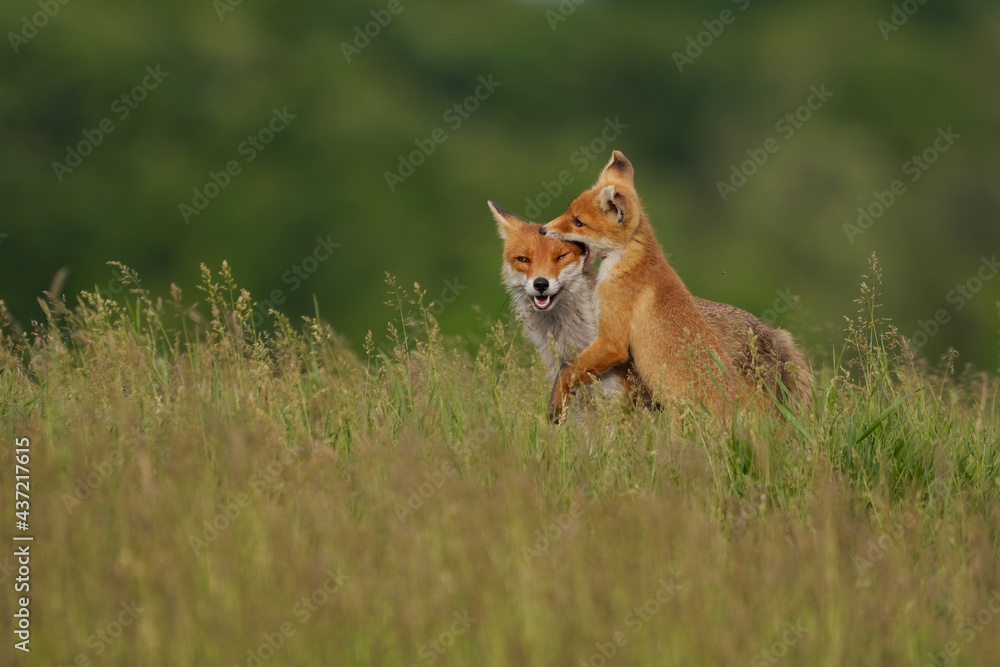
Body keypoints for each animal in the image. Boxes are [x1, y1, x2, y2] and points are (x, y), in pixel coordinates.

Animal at [488, 200, 811, 416]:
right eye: (523, 259)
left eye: (561, 256)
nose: (541, 284)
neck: (571, 340)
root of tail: (770, 330)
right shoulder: (584, 406)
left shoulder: (619, 403)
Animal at [537, 150, 811, 423]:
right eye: (568, 212)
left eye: (578, 222)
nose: (542, 229)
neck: (630, 264)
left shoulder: (612, 341)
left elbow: (567, 370)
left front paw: (555, 405)